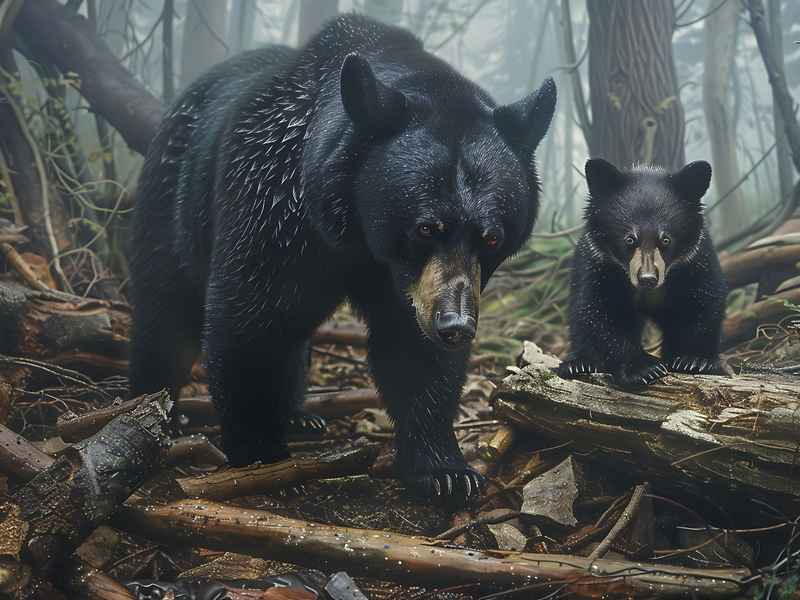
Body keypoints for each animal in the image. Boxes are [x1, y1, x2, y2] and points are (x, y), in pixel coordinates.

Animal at [128, 14, 556, 504]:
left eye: (490, 237)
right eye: (426, 227)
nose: (455, 326)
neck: (356, 236)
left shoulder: (410, 285)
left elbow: (414, 352)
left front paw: (445, 471)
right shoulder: (272, 206)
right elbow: (248, 322)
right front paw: (259, 453)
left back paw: (299, 413)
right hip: (170, 202)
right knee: (165, 309)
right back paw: (155, 406)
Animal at [558, 158, 727, 388]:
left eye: (666, 239)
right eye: (630, 239)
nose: (648, 279)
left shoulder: (695, 261)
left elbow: (702, 302)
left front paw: (694, 361)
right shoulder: (599, 265)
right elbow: (601, 312)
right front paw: (645, 369)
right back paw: (579, 364)